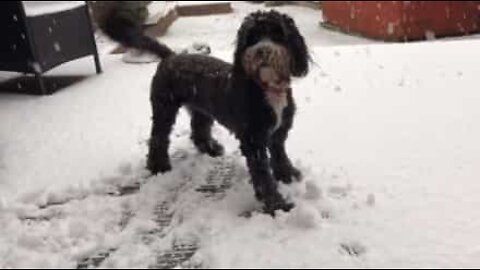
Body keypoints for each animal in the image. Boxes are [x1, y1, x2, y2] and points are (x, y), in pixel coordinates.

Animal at [101, 6, 312, 214]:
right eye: (252, 37)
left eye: (278, 34)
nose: (262, 51)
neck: (264, 86)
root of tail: (172, 56)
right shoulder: (253, 140)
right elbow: (262, 175)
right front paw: (277, 205)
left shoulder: (279, 131)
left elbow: (279, 154)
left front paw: (287, 175)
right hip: (164, 107)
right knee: (158, 137)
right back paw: (159, 166)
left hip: (202, 109)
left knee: (198, 129)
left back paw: (210, 148)